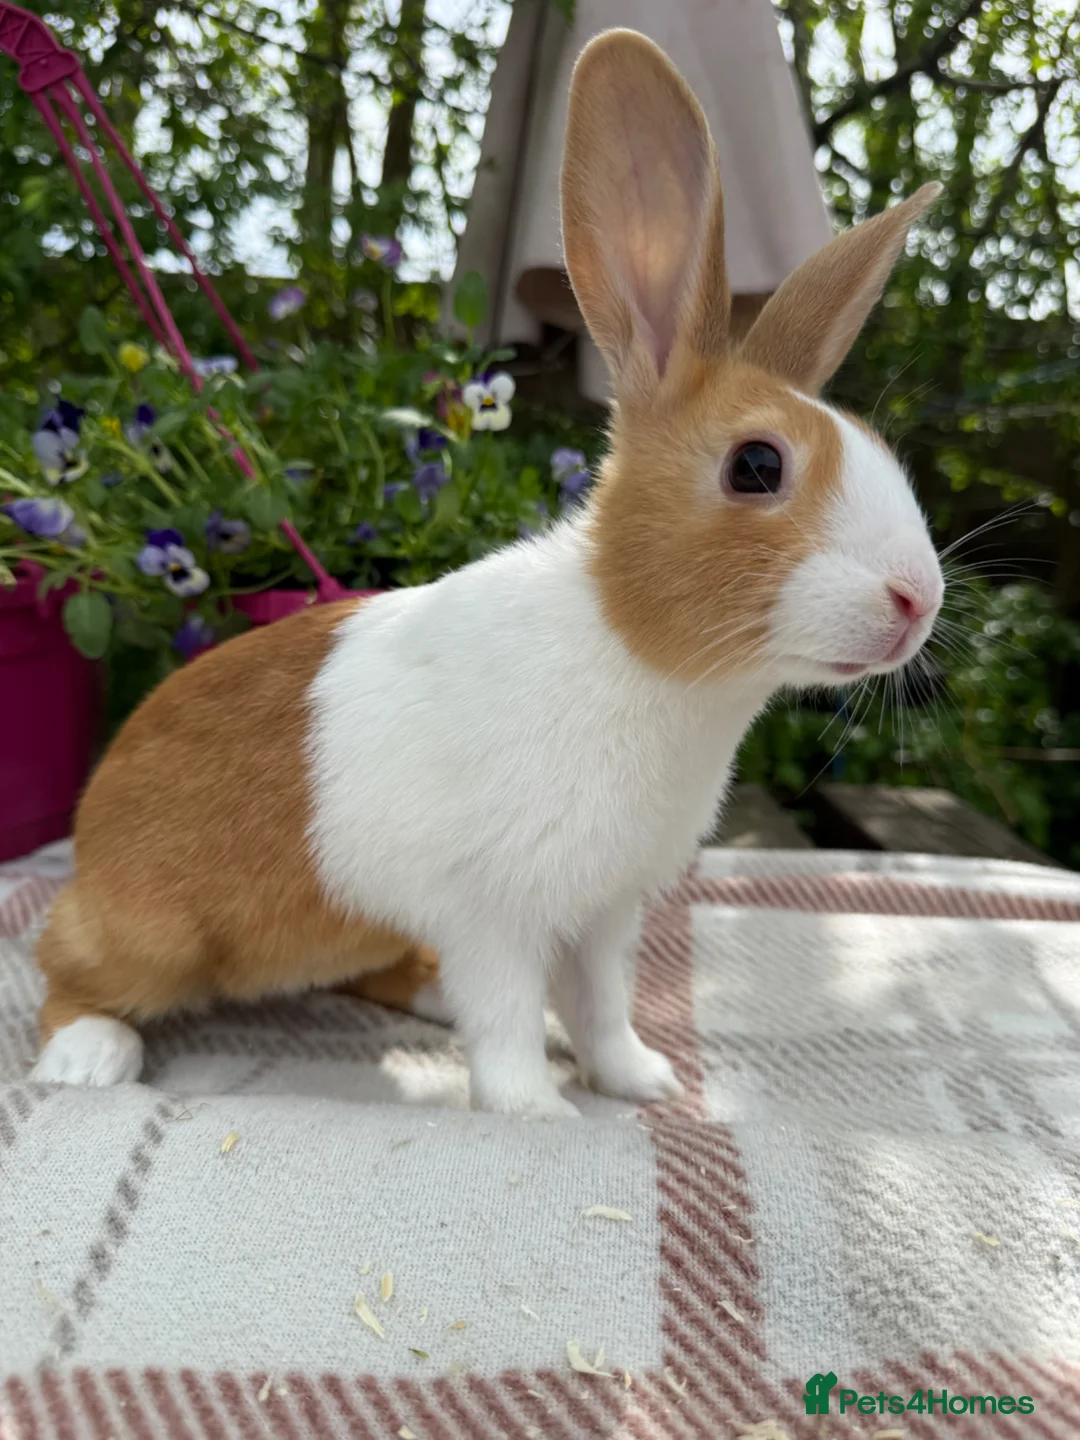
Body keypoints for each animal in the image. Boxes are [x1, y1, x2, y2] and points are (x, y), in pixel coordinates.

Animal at [32, 29, 944, 1116]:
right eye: (758, 467)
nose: (919, 600)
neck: (635, 654)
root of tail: (90, 836)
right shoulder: (494, 914)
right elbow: (507, 1017)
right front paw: (536, 1112)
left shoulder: (603, 914)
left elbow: (601, 1006)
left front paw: (642, 1083)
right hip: (152, 936)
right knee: (60, 967)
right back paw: (87, 1057)